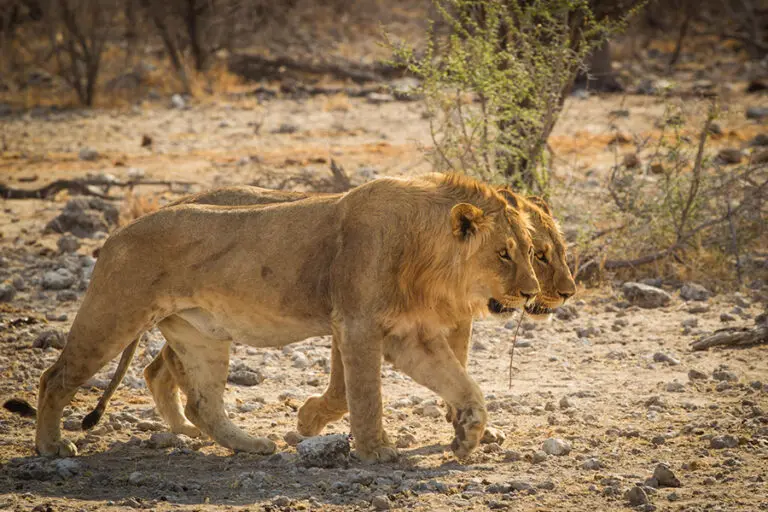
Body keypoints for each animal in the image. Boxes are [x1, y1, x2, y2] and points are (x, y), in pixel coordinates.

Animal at [3, 173, 540, 462]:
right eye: (504, 254)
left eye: (530, 251)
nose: (532, 293)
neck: (427, 256)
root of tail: (116, 232)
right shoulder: (358, 324)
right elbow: (366, 395)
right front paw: (374, 451)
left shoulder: (409, 335)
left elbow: (464, 385)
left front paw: (468, 436)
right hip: (113, 315)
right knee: (54, 377)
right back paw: (50, 447)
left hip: (200, 335)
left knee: (202, 402)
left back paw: (250, 445)